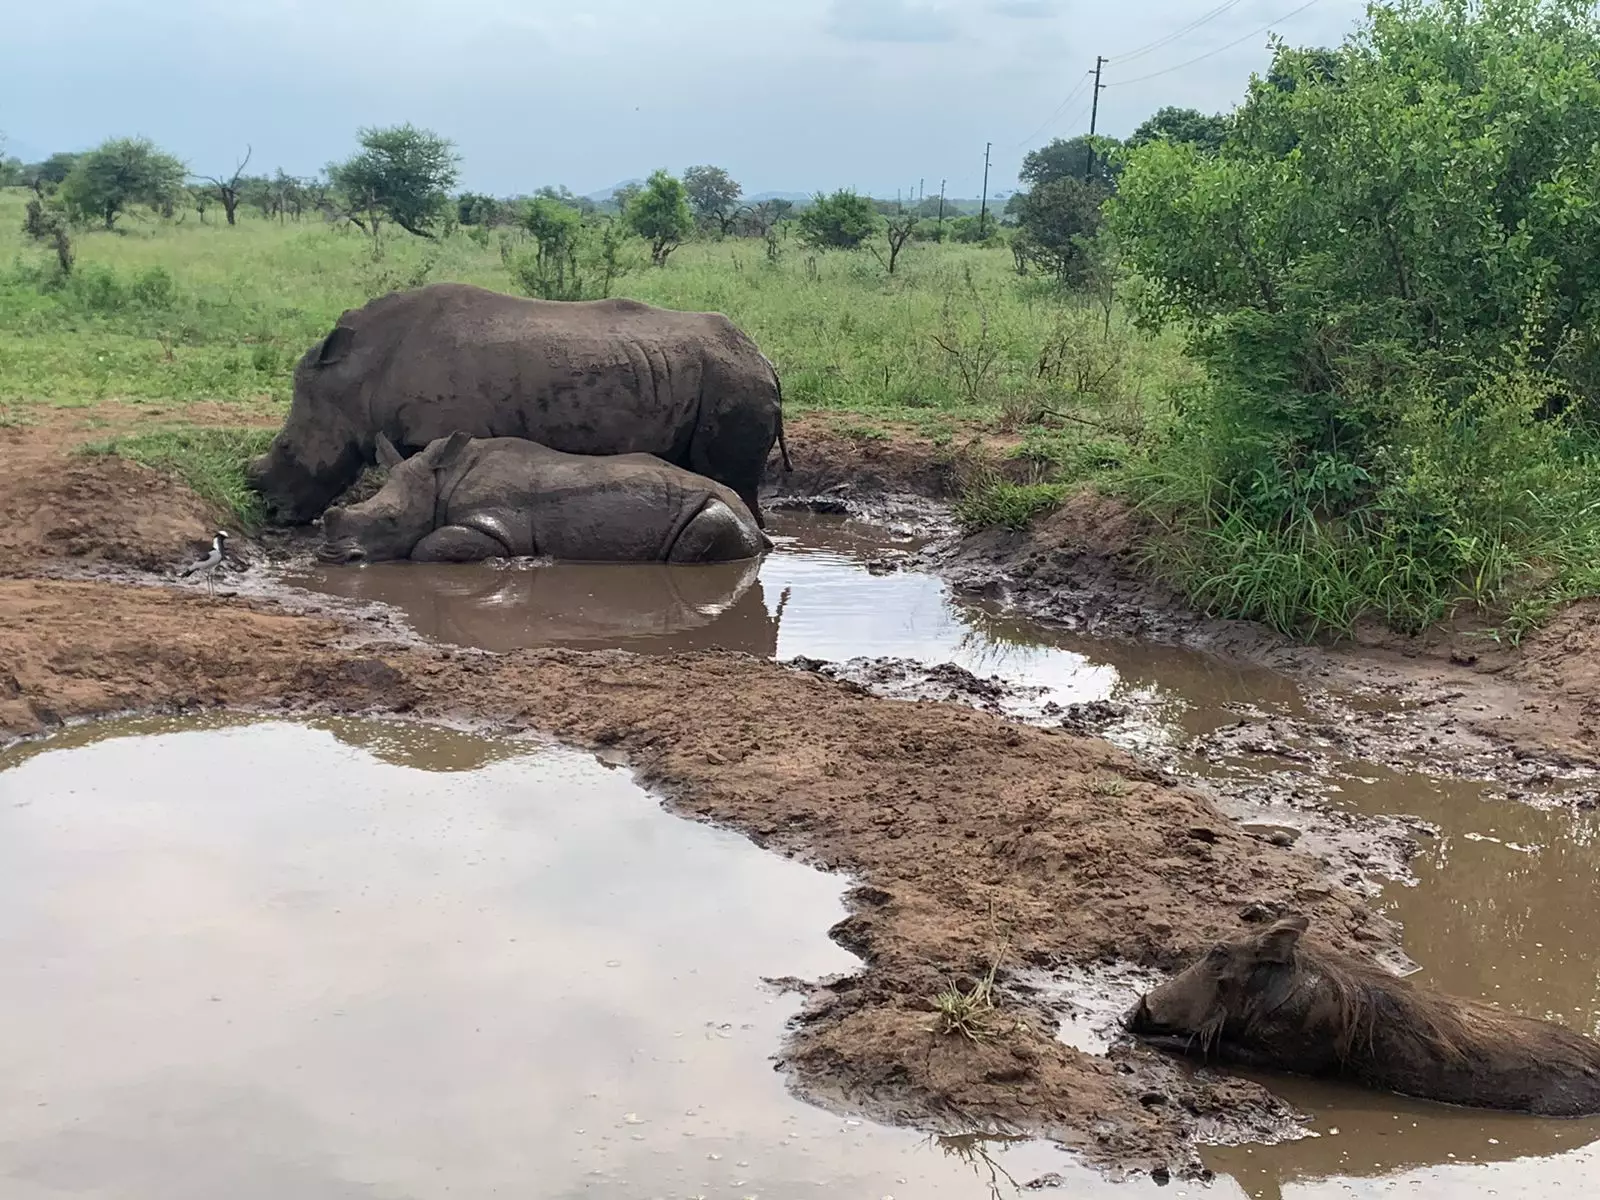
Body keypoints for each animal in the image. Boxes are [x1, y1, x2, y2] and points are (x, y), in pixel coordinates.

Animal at [247, 283, 791, 526]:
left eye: (287, 448)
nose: (273, 514)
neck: (359, 372)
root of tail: (764, 358)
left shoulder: (434, 431)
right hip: (714, 374)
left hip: (733, 380)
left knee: (732, 479)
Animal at [315, 432, 771, 566]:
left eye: (391, 521)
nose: (329, 557)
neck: (441, 480)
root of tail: (756, 524)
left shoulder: (497, 524)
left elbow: (426, 547)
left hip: (717, 509)